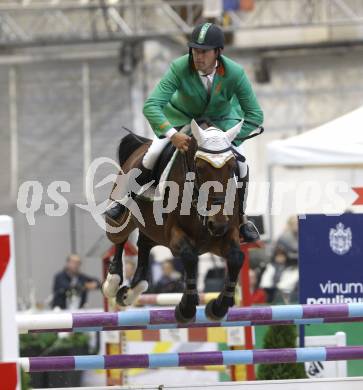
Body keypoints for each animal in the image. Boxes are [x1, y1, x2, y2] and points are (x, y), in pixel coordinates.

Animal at [102, 119, 245, 322]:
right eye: (200, 168)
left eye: (232, 167)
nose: (217, 224)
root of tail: (141, 146)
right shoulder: (175, 235)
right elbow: (189, 256)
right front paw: (186, 308)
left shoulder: (224, 236)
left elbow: (236, 258)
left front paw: (218, 307)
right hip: (122, 218)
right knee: (119, 239)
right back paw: (113, 282)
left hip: (153, 230)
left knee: (144, 244)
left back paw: (132, 290)